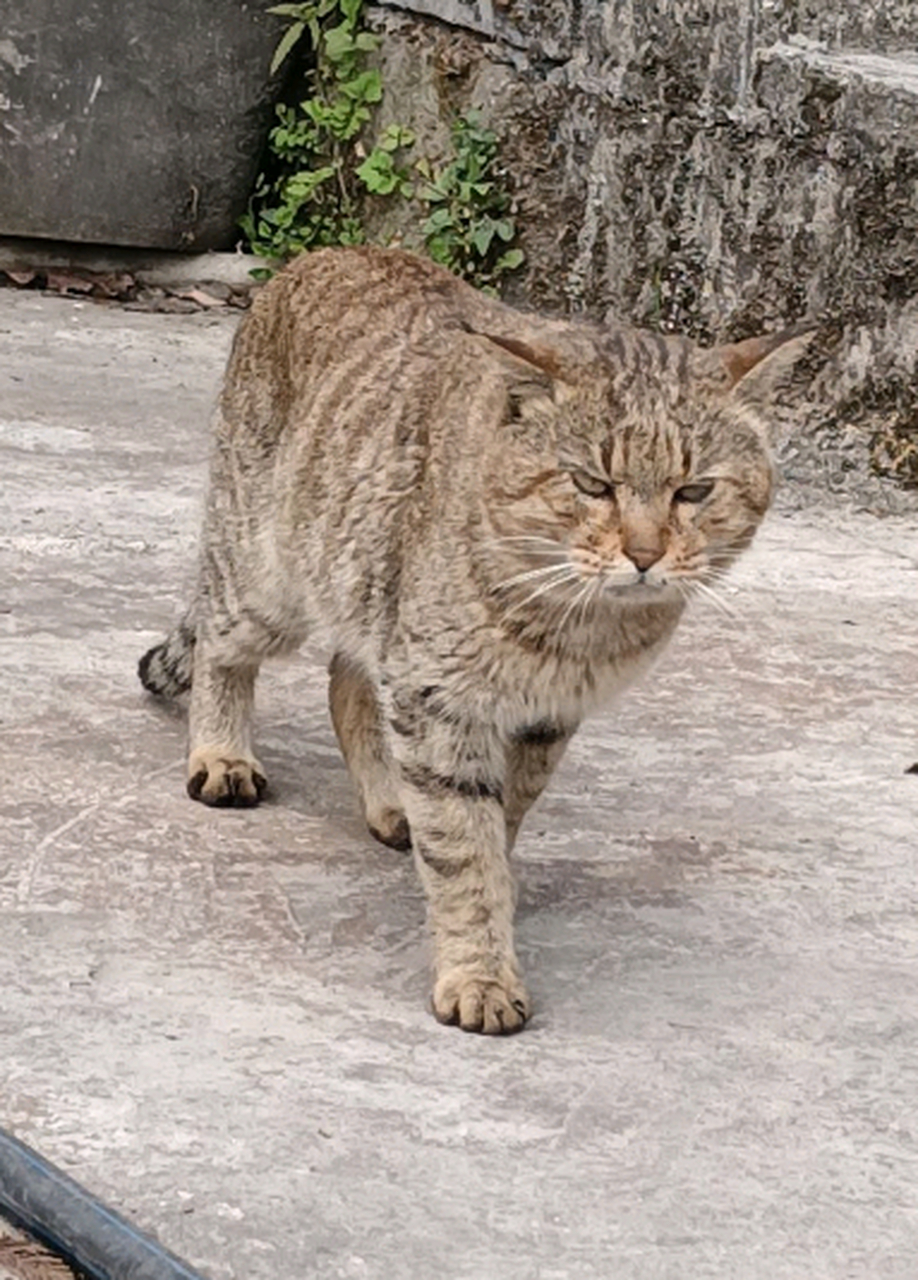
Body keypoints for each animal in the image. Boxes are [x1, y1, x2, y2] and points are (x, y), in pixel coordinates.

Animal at [137, 244, 809, 1034]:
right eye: (592, 484)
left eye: (695, 491)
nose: (645, 554)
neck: (573, 625)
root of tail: (320, 256)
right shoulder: (439, 698)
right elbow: (465, 849)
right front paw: (479, 970)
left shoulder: (544, 717)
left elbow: (499, 822)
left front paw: (490, 889)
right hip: (267, 572)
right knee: (222, 644)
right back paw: (222, 752)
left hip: (367, 590)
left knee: (346, 681)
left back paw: (389, 800)